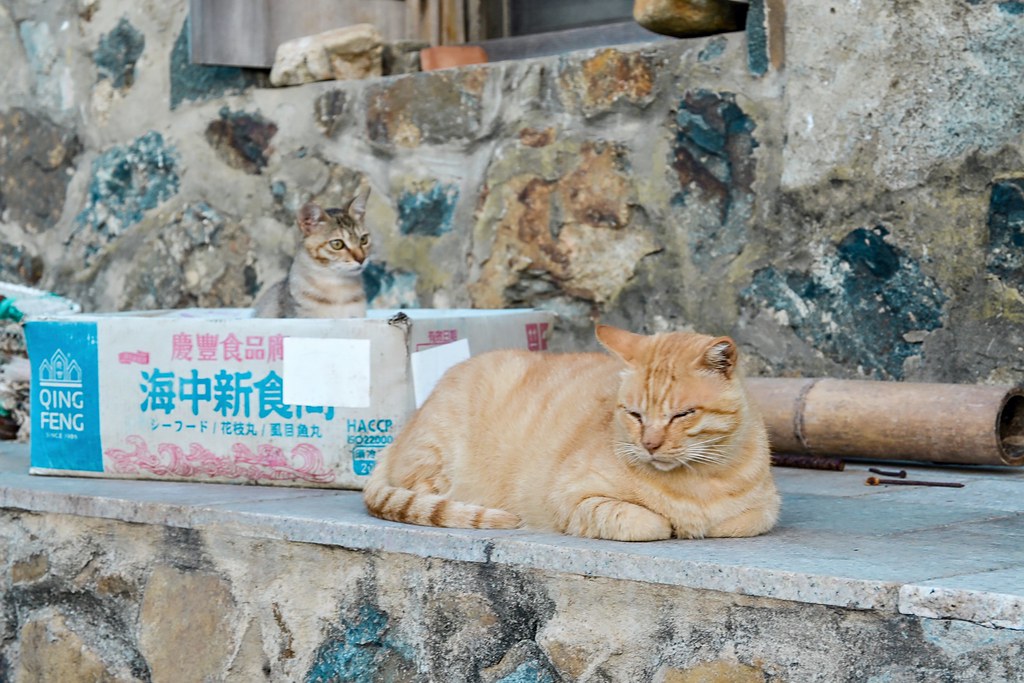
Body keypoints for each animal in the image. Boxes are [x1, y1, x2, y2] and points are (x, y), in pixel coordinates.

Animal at [364, 325, 778, 544]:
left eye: (682, 414)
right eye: (635, 414)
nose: (650, 444)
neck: (697, 481)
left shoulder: (766, 509)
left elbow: (736, 523)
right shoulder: (571, 497)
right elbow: (647, 522)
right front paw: (672, 525)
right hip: (436, 462)